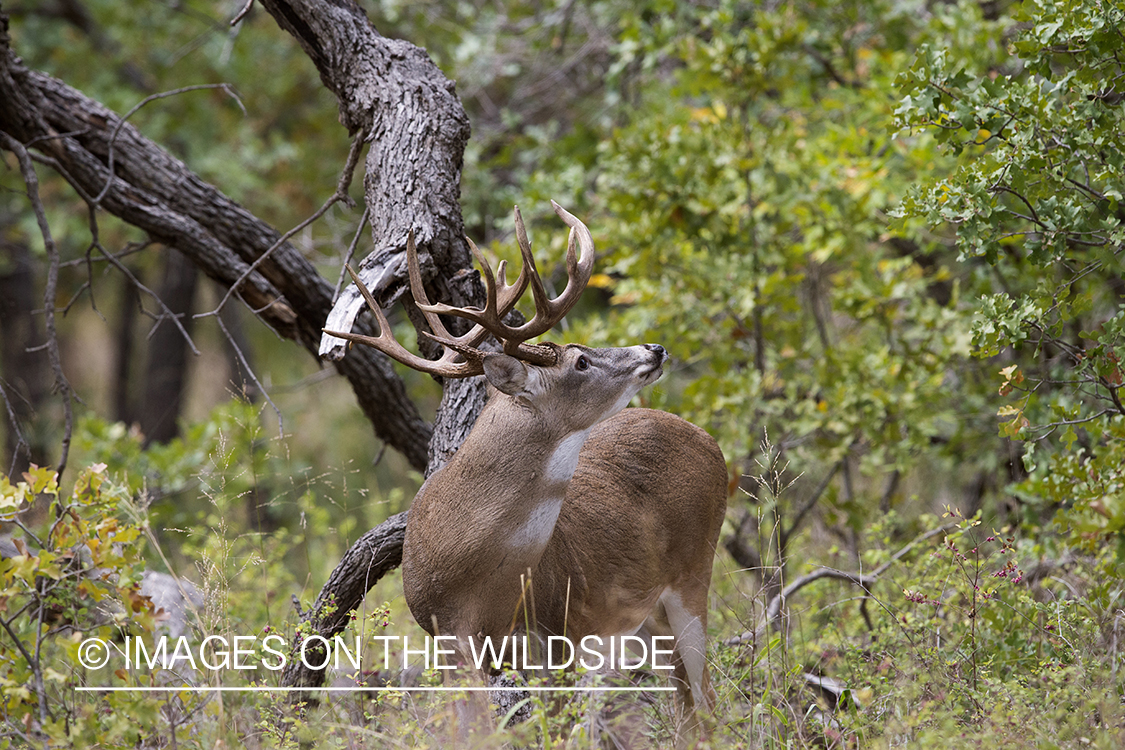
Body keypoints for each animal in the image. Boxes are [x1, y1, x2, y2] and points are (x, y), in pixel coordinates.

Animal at [326, 201, 729, 746]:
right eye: (580, 360)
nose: (655, 348)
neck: (473, 589)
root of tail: (710, 440)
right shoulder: (454, 646)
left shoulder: (562, 633)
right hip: (648, 616)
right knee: (687, 701)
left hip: (694, 571)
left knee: (706, 700)